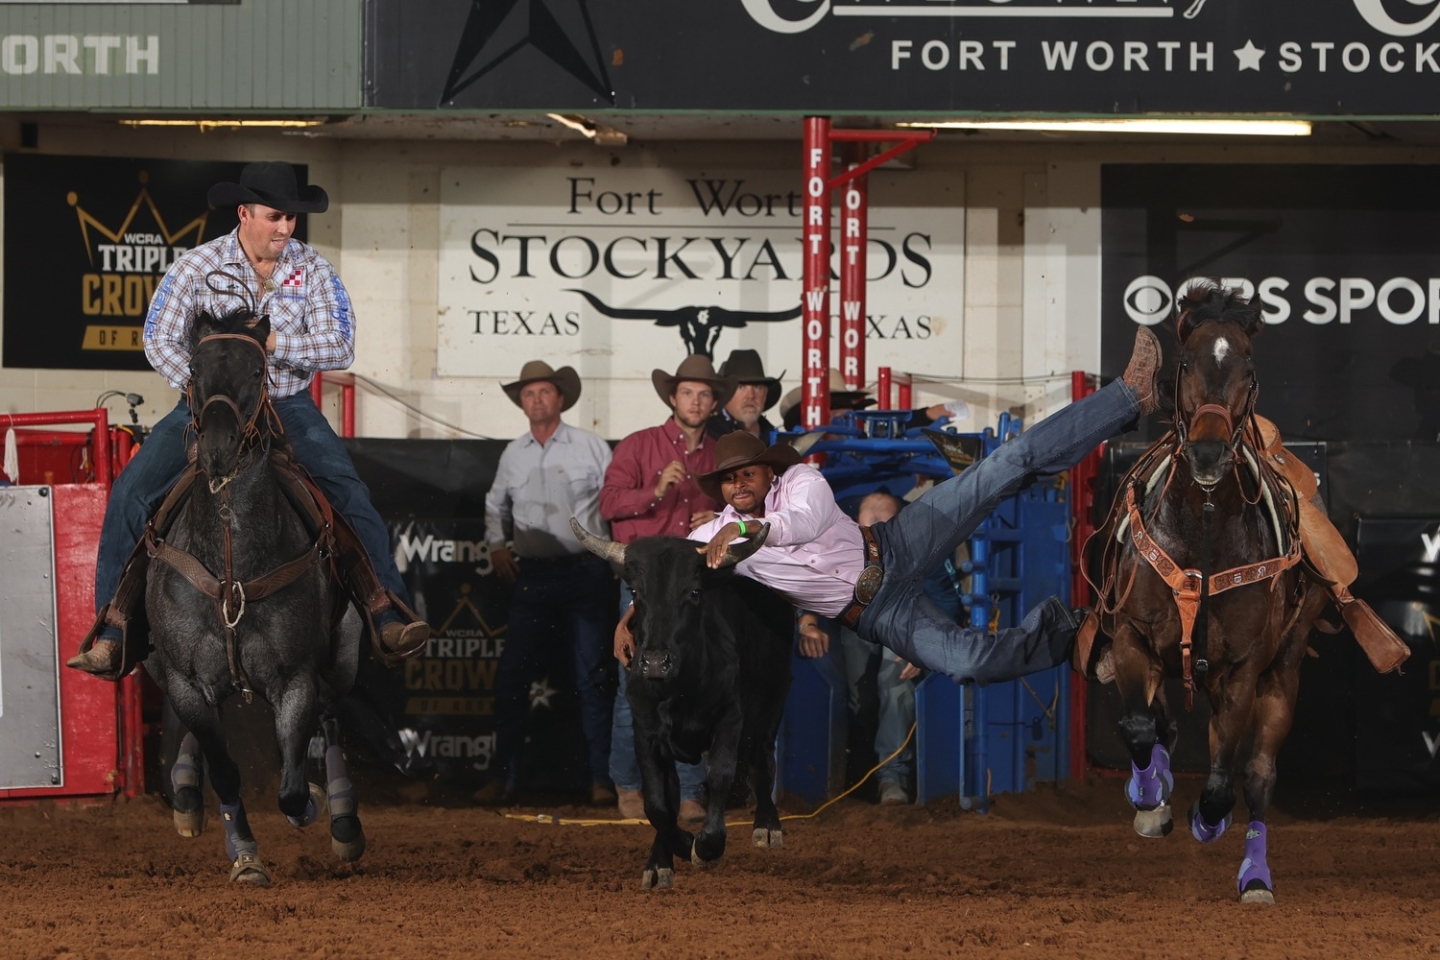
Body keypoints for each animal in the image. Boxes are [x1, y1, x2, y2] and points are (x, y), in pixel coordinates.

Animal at [144, 308, 365, 886]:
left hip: (344, 656)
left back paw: (344, 821)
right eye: (193, 367)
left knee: (333, 718)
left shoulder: (295, 680)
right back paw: (185, 792)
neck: (232, 559)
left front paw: (313, 803)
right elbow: (225, 771)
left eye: (259, 369)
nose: (218, 448)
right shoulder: (184, 680)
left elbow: (290, 786)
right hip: (163, 668)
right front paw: (244, 854)